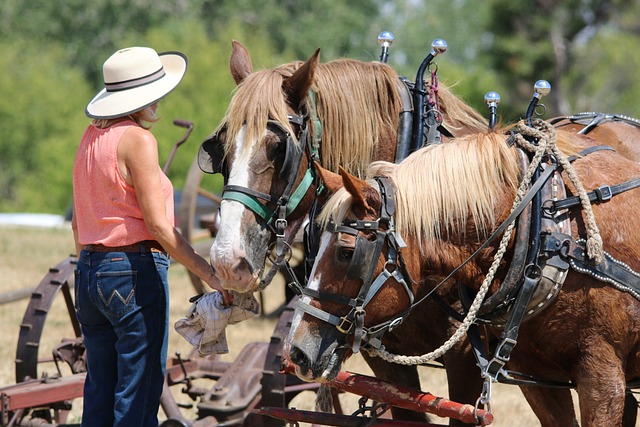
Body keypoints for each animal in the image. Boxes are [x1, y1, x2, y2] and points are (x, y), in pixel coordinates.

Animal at [288, 122, 640, 426]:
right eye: (314, 241)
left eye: (347, 252)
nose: (297, 353)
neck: (546, 227)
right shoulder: (536, 375)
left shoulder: (602, 376)